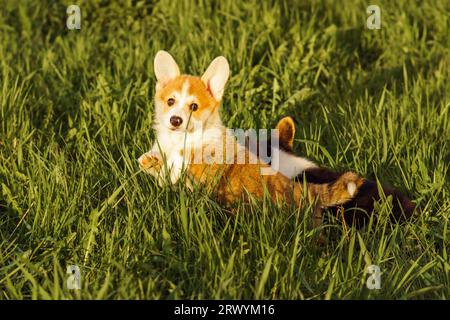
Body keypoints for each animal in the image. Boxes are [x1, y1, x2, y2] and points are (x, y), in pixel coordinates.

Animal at [138, 51, 366, 224]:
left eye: (194, 107)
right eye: (170, 101)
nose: (175, 120)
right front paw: (150, 161)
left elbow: (187, 154)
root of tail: (301, 189)